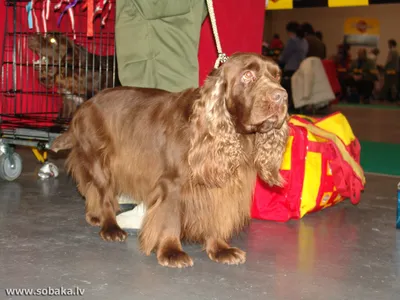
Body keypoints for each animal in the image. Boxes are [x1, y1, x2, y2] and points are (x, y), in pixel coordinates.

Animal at [51, 52, 290, 268]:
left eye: (277, 76)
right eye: (248, 75)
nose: (282, 96)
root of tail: (84, 106)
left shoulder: (220, 182)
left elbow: (215, 215)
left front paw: (220, 249)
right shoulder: (172, 184)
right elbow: (170, 218)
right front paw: (171, 252)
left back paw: (95, 216)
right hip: (100, 160)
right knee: (105, 195)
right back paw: (111, 227)